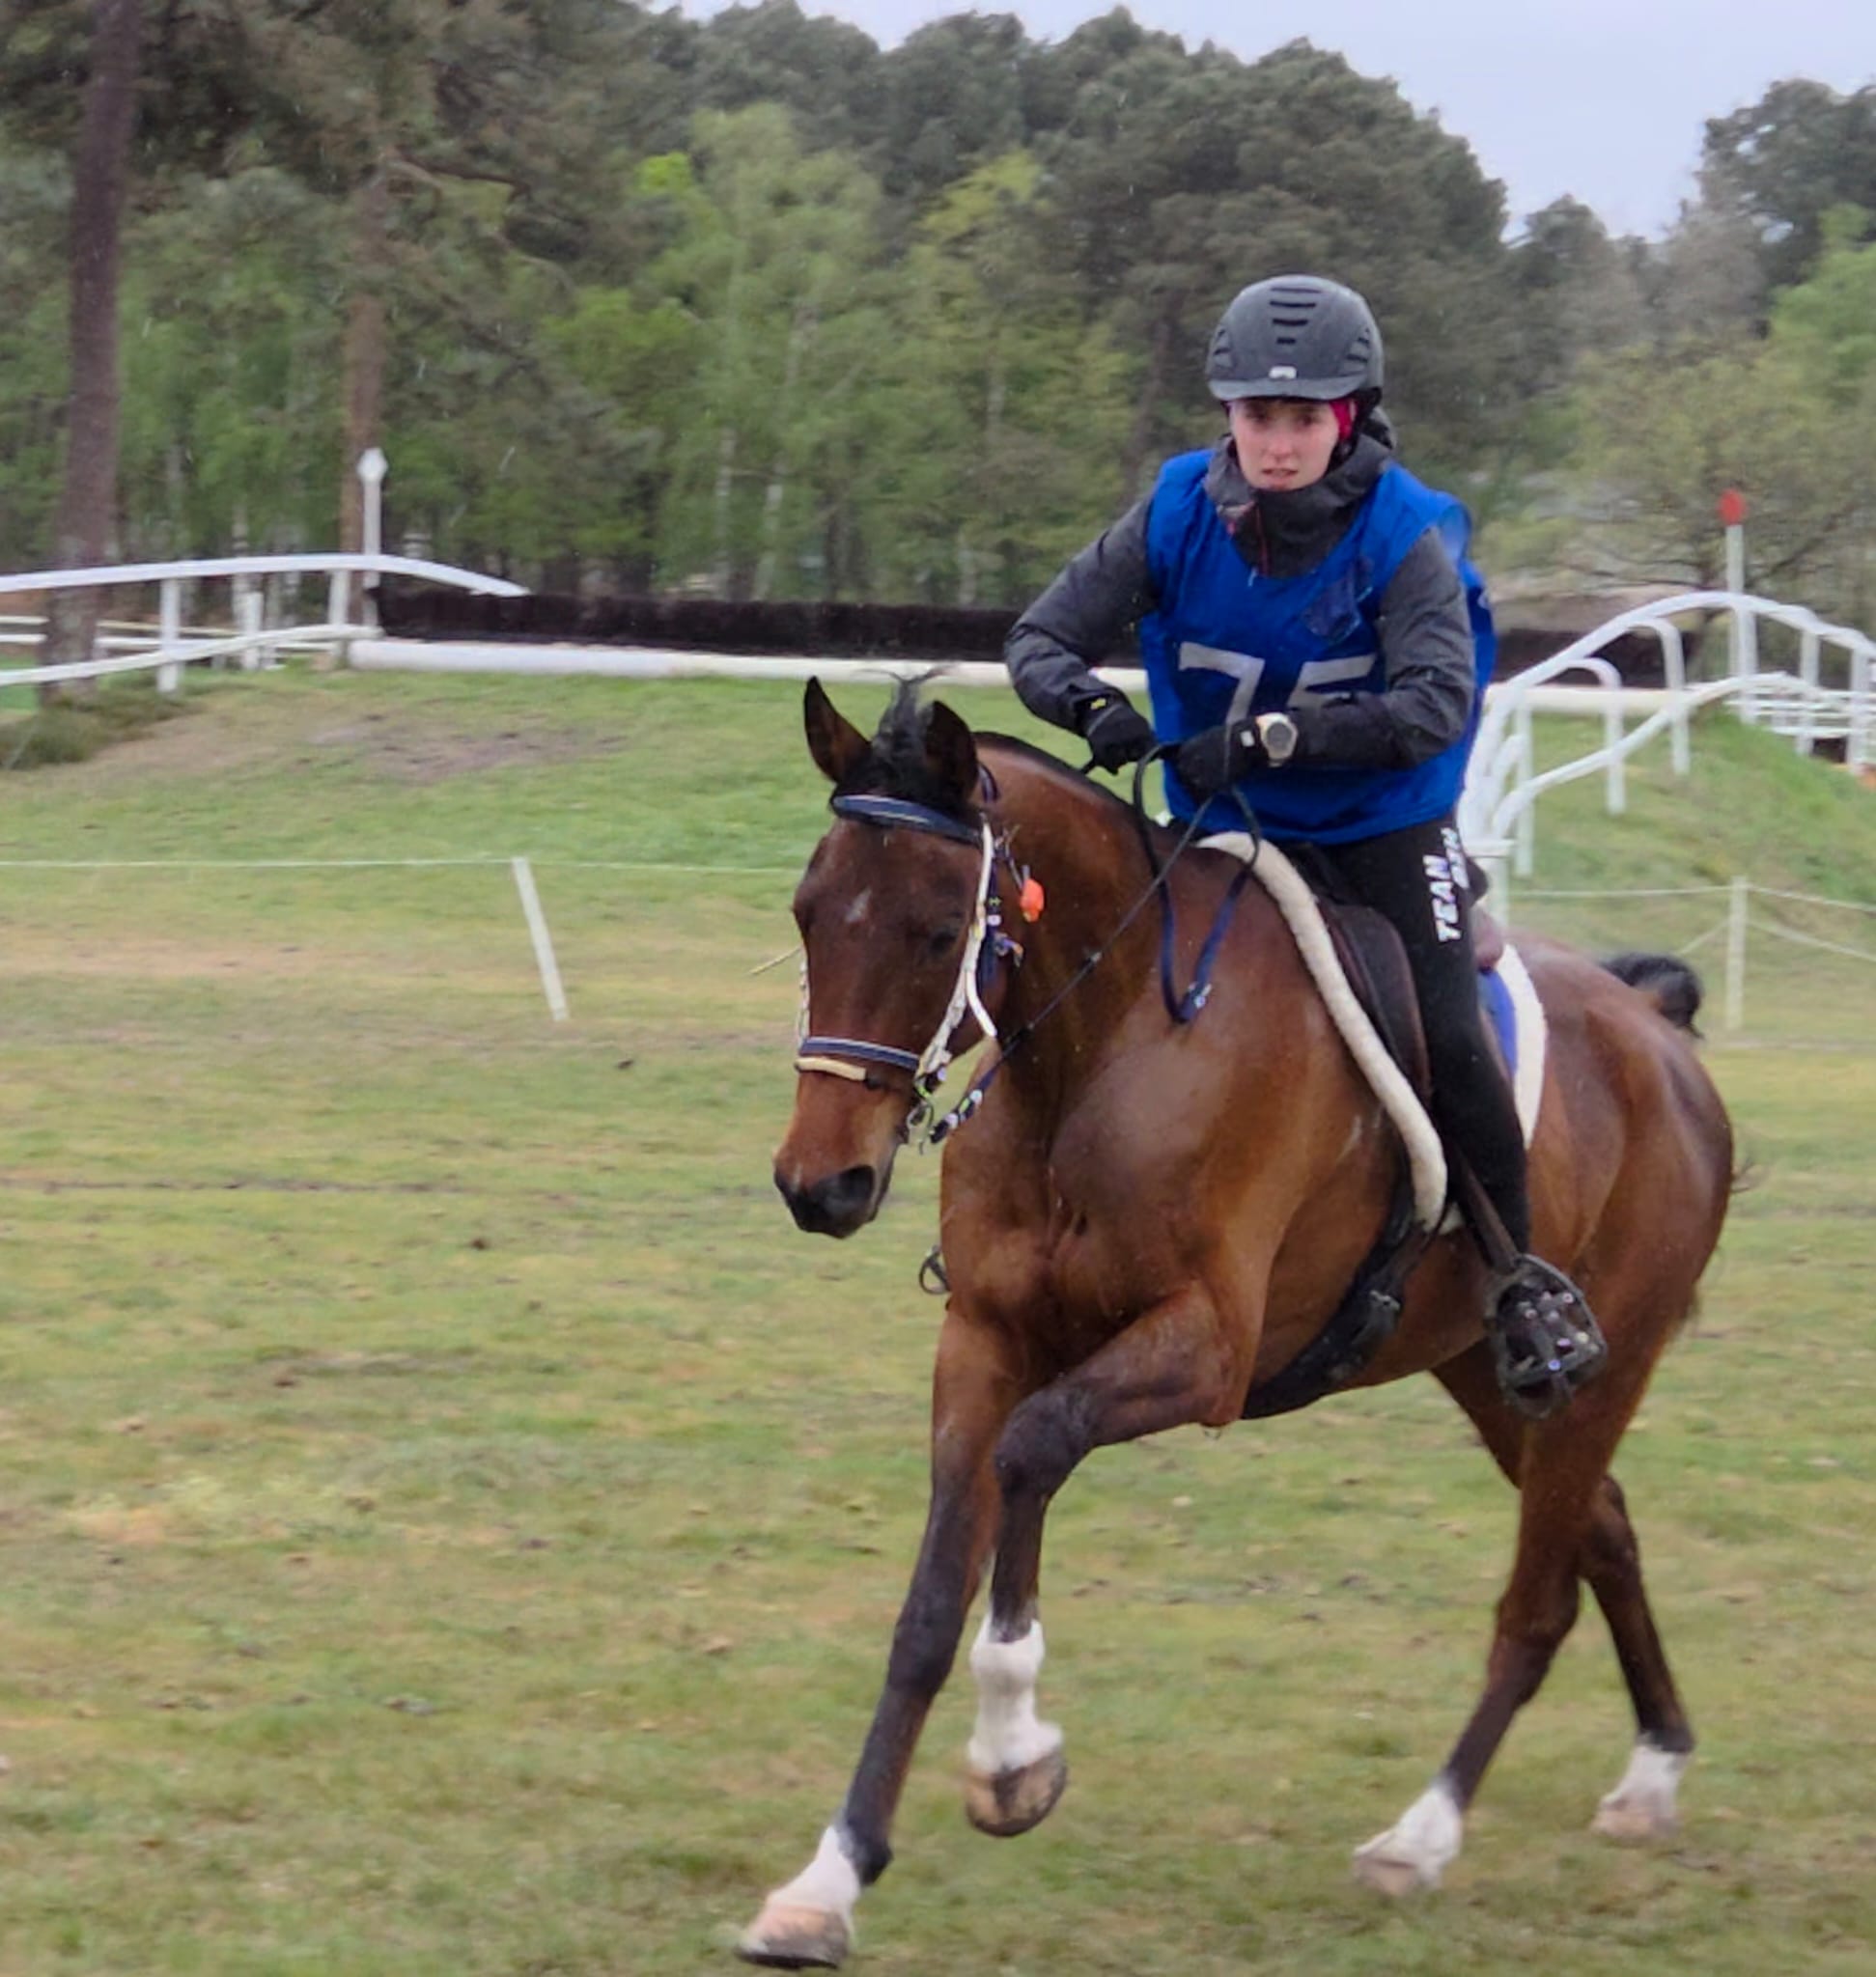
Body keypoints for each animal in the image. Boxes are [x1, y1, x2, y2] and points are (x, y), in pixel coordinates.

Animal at [738, 679, 1735, 1968]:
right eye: (808, 912)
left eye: (932, 927)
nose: (822, 1182)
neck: (1101, 1042)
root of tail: (1659, 1034)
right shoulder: (984, 1342)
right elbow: (926, 1606)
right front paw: (831, 1876)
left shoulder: (1201, 1350)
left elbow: (1033, 1450)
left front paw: (1012, 1754)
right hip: (1486, 1367)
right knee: (1602, 1528)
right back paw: (1652, 1769)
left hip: (1600, 1366)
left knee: (1538, 1599)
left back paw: (1421, 1833)